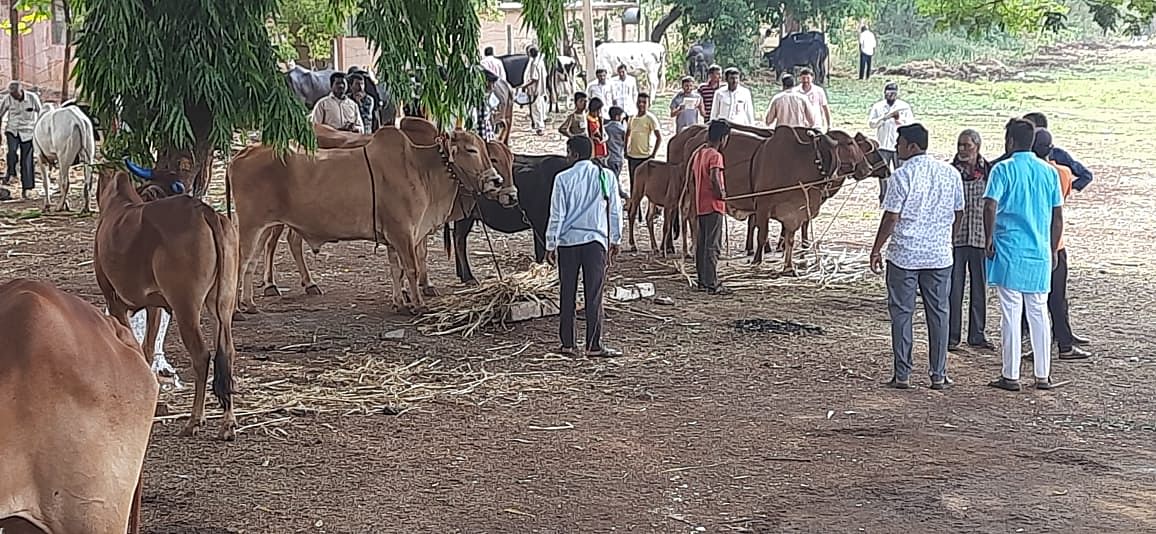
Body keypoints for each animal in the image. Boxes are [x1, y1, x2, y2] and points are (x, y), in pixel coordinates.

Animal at [227, 119, 508, 314]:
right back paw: (238, 309)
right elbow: (411, 269)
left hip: (264, 227)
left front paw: (400, 303)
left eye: (487, 152)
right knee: (242, 261)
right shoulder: (403, 232)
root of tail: (242, 153)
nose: (496, 181)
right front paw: (418, 304)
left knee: (253, 261)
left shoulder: (396, 237)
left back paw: (250, 303)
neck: (420, 167)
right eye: (471, 150)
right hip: (251, 225)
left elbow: (397, 270)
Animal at [443, 153, 571, 283]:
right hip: (465, 214)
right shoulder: (540, 223)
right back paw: (469, 277)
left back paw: (461, 275)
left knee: (456, 236)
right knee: (459, 239)